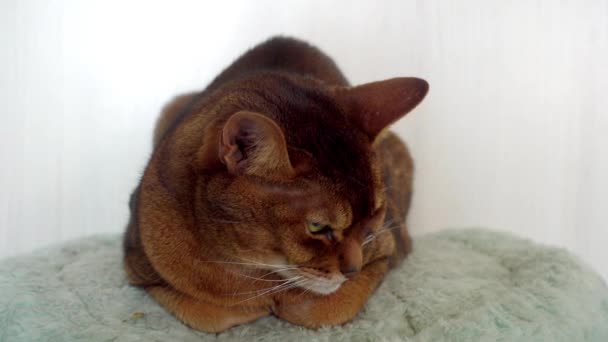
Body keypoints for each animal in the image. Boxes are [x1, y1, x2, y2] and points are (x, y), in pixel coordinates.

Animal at [123, 36, 428, 332]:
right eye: (317, 227)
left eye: (376, 215)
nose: (353, 270)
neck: (250, 265)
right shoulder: (139, 270)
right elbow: (209, 316)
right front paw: (257, 305)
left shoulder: (392, 247)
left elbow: (327, 308)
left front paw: (288, 303)